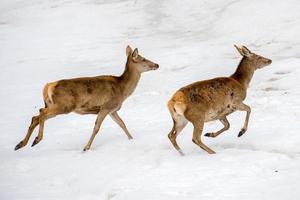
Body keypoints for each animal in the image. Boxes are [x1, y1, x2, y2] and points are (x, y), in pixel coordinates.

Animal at [15, 45, 159, 152]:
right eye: (143, 59)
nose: (157, 64)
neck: (122, 90)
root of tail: (49, 86)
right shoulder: (106, 106)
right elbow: (96, 127)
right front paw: (86, 147)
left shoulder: (113, 110)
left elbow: (122, 124)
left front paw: (132, 139)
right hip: (64, 105)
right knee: (41, 114)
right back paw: (36, 139)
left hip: (54, 105)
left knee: (37, 115)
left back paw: (21, 144)